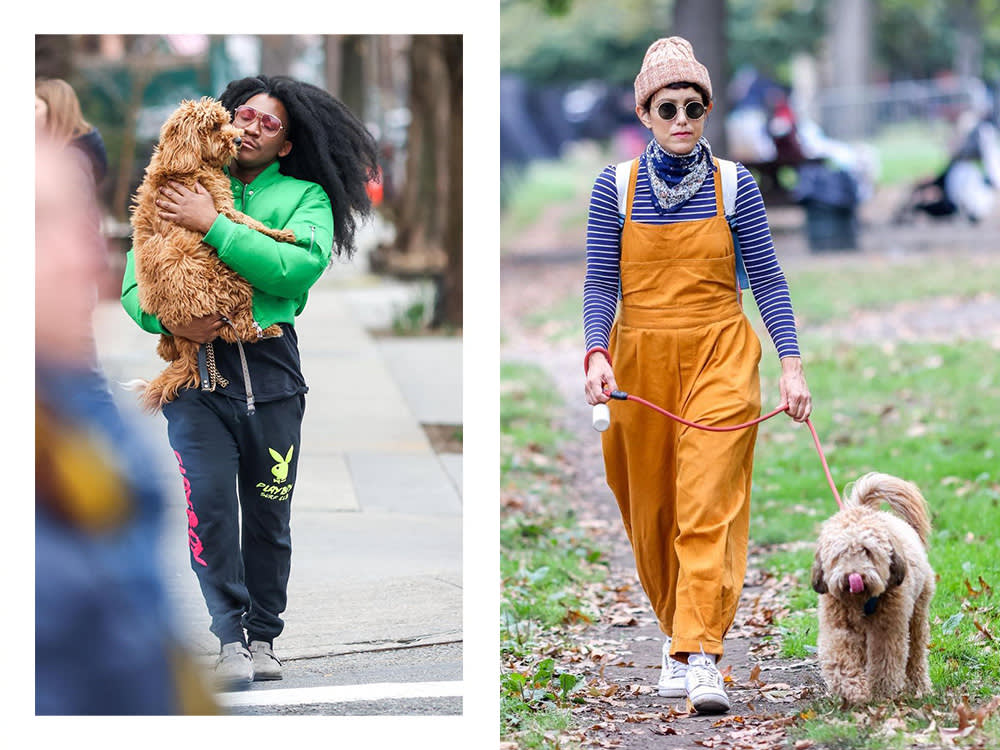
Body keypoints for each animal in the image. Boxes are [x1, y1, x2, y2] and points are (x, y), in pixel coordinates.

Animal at [127, 97, 294, 414]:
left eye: (228, 121)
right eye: (213, 127)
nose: (238, 139)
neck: (185, 161)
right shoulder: (221, 207)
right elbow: (249, 222)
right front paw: (281, 233)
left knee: (168, 347)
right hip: (233, 281)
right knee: (236, 331)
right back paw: (268, 330)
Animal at [808, 472, 932, 708]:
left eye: (867, 551)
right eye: (839, 554)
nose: (854, 577)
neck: (861, 602)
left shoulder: (888, 627)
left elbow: (886, 660)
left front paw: (879, 693)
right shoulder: (839, 626)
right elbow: (840, 657)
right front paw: (854, 689)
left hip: (918, 613)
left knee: (916, 654)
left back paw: (920, 687)